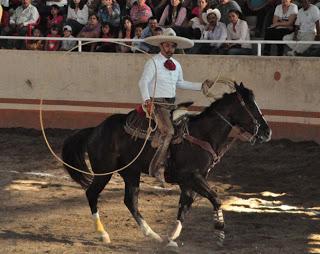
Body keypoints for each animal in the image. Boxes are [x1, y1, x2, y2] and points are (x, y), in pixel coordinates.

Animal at [62, 83, 270, 248]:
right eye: (250, 105)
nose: (267, 132)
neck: (202, 135)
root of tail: (95, 129)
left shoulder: (191, 181)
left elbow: (185, 206)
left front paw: (170, 237)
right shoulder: (192, 176)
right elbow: (215, 198)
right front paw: (219, 232)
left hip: (131, 172)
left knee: (130, 201)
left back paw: (152, 234)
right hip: (104, 171)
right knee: (92, 194)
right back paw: (103, 234)